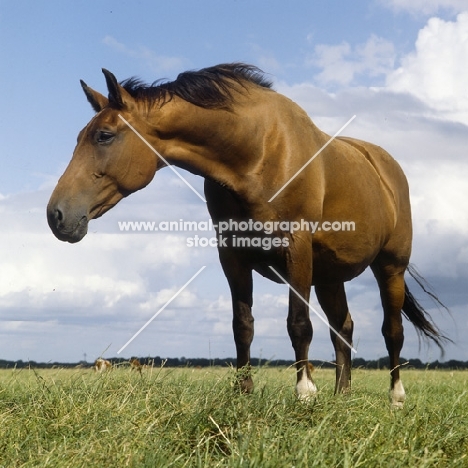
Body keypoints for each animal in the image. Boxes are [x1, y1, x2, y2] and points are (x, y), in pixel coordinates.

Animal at [46, 62, 446, 406]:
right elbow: (243, 326)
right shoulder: (232, 255)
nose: (56, 215)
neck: (257, 153)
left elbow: (298, 324)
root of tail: (385, 166)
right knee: (342, 328)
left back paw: (396, 398)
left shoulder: (296, 249)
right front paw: (243, 392)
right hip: (329, 275)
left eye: (104, 135)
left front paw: (304, 393)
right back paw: (341, 396)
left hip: (389, 267)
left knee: (392, 330)